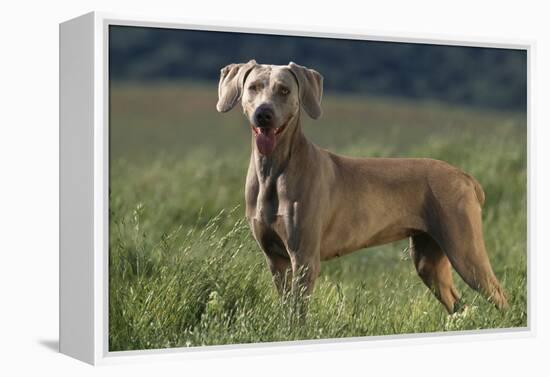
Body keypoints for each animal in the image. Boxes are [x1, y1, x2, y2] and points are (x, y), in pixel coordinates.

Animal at [216, 59, 508, 312]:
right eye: (253, 87)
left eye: (284, 90)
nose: (263, 114)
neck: (273, 172)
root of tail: (466, 177)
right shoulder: (275, 259)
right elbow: (286, 309)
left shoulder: (304, 258)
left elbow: (298, 313)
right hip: (429, 258)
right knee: (458, 304)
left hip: (464, 249)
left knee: (500, 296)